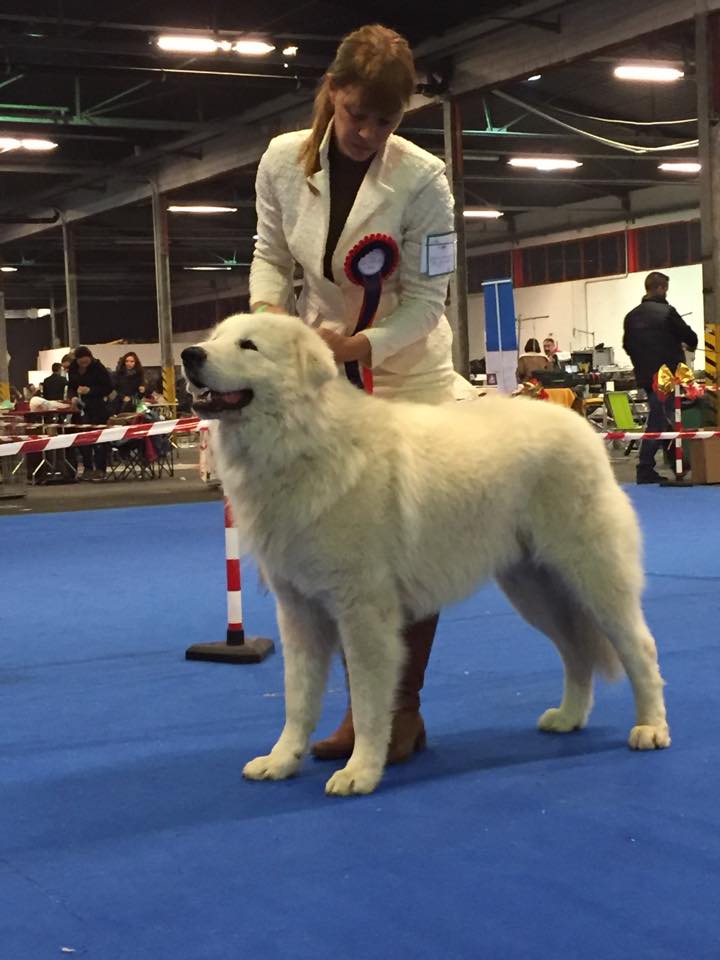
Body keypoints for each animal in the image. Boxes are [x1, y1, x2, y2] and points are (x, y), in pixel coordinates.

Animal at [181, 313, 670, 797]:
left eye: (248, 346)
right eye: (215, 339)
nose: (189, 355)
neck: (301, 441)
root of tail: (582, 428)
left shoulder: (364, 613)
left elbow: (367, 701)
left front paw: (361, 771)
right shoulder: (299, 612)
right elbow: (297, 698)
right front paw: (281, 761)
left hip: (594, 578)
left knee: (639, 647)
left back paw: (651, 728)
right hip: (534, 591)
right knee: (576, 652)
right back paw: (568, 717)